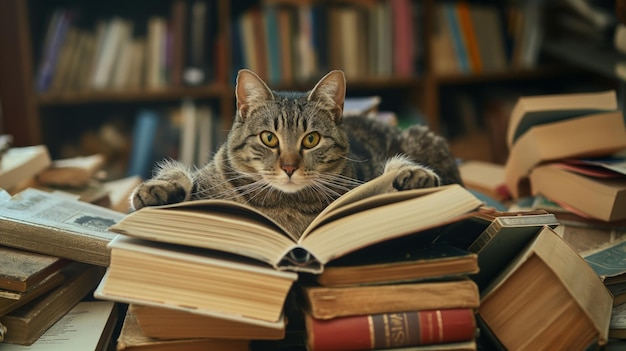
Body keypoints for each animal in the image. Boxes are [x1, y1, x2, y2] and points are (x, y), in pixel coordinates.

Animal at [129, 70, 460, 238]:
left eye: (311, 139)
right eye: (268, 138)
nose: (289, 167)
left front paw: (411, 176)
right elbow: (177, 174)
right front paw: (158, 189)